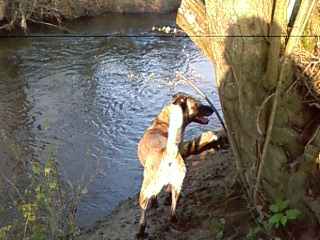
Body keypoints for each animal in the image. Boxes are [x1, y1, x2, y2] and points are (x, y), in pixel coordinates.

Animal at [136, 92, 214, 236]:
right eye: (197, 105)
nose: (211, 109)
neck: (163, 121)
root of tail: (169, 153)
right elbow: (166, 189)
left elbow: (155, 196)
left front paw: (155, 203)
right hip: (177, 185)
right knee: (173, 211)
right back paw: (173, 220)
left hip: (144, 191)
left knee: (143, 216)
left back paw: (140, 232)